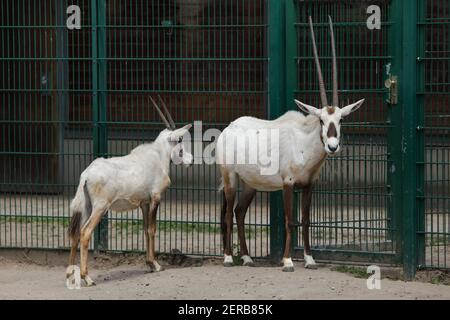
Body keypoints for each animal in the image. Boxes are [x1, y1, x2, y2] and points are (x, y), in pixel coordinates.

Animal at [66, 95, 192, 288]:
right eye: (179, 142)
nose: (190, 161)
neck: (158, 155)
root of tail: (86, 175)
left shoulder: (144, 203)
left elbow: (146, 229)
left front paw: (149, 263)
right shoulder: (156, 198)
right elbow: (152, 229)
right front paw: (156, 265)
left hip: (87, 207)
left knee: (75, 235)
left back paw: (71, 275)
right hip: (100, 208)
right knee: (85, 233)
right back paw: (87, 278)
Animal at [215, 16, 366, 272]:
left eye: (341, 120)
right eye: (321, 120)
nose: (332, 147)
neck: (304, 144)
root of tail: (229, 128)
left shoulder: (308, 185)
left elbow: (304, 220)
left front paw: (310, 259)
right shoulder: (288, 183)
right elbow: (289, 220)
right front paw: (287, 261)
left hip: (250, 183)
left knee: (239, 212)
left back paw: (246, 257)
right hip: (230, 178)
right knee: (228, 214)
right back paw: (227, 258)